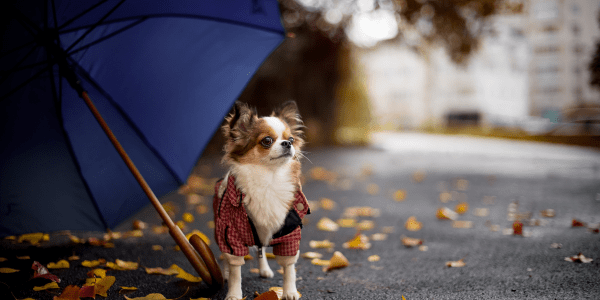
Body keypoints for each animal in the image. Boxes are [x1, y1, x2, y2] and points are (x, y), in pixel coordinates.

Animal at [213, 101, 310, 300]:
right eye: (267, 141)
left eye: (291, 139)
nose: (287, 143)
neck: (269, 179)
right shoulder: (230, 233)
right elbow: (235, 270)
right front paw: (234, 294)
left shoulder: (289, 233)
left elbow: (289, 267)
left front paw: (290, 291)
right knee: (227, 257)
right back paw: (225, 272)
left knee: (261, 249)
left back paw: (264, 269)